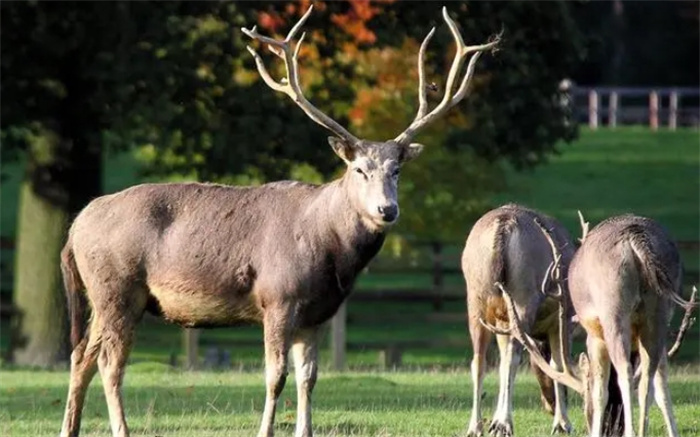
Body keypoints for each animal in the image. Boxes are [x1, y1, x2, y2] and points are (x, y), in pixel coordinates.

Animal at [57, 5, 500, 436]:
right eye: (358, 169)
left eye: (397, 170)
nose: (386, 211)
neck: (331, 255)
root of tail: (75, 227)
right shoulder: (278, 297)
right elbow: (276, 376)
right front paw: (265, 430)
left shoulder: (318, 312)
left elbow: (309, 377)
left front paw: (305, 429)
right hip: (117, 288)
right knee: (109, 363)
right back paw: (120, 429)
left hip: (102, 296)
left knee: (81, 354)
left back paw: (70, 428)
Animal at [464, 204, 576, 436]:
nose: (549, 406)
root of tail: (504, 225)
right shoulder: (562, 321)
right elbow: (559, 363)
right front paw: (563, 423)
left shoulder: (502, 322)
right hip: (523, 295)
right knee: (512, 357)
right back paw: (504, 423)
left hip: (476, 300)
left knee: (479, 360)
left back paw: (476, 425)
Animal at [486, 214, 700, 436]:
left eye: (583, 403)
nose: (610, 429)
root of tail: (635, 240)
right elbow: (661, 384)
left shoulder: (594, 336)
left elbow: (599, 391)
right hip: (658, 313)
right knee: (647, 378)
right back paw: (641, 430)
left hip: (612, 311)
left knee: (625, 372)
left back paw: (631, 431)